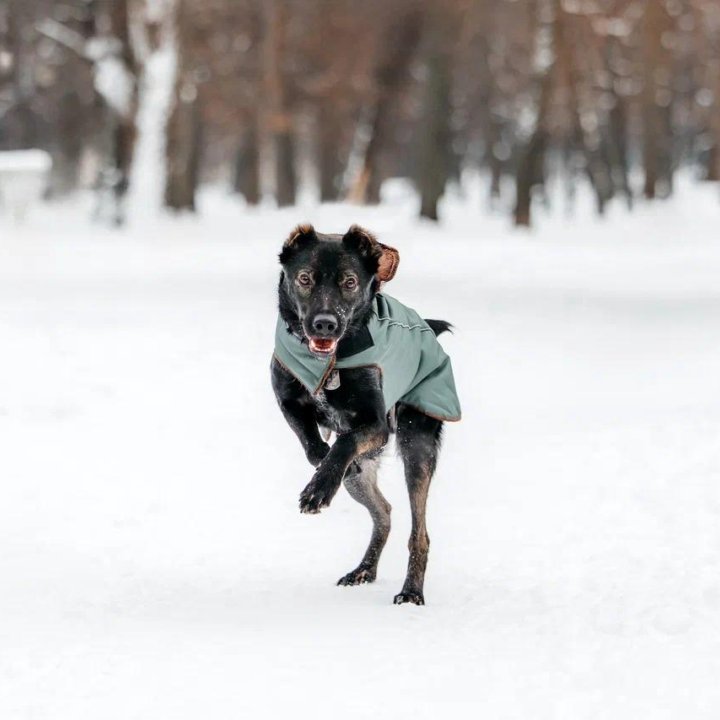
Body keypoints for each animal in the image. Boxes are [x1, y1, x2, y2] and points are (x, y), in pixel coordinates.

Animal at [270, 222, 462, 604]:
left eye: (349, 282)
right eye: (304, 278)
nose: (325, 324)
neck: (330, 361)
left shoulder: (376, 424)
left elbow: (344, 443)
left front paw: (318, 489)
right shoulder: (287, 401)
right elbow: (312, 443)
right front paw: (323, 465)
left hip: (416, 446)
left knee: (419, 533)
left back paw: (411, 592)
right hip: (368, 477)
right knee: (383, 512)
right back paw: (364, 570)